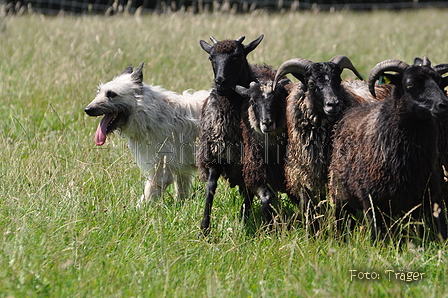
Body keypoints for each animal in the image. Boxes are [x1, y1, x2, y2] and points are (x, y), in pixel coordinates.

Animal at [85, 61, 209, 204]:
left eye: (111, 94)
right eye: (98, 92)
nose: (87, 109)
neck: (151, 113)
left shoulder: (161, 169)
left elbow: (147, 195)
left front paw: (137, 209)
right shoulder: (181, 168)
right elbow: (181, 191)